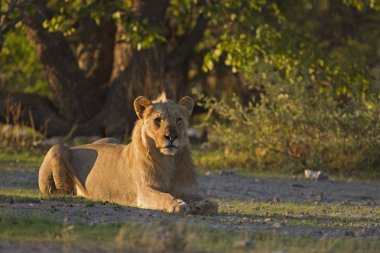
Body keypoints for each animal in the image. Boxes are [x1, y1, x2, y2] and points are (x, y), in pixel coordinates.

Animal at [38, 94, 218, 214]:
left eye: (178, 119)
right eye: (158, 120)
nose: (172, 136)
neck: (169, 161)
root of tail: (79, 146)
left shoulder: (189, 190)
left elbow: (214, 202)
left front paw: (198, 206)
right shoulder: (144, 191)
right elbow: (164, 197)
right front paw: (178, 205)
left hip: (111, 138)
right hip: (57, 147)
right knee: (62, 190)